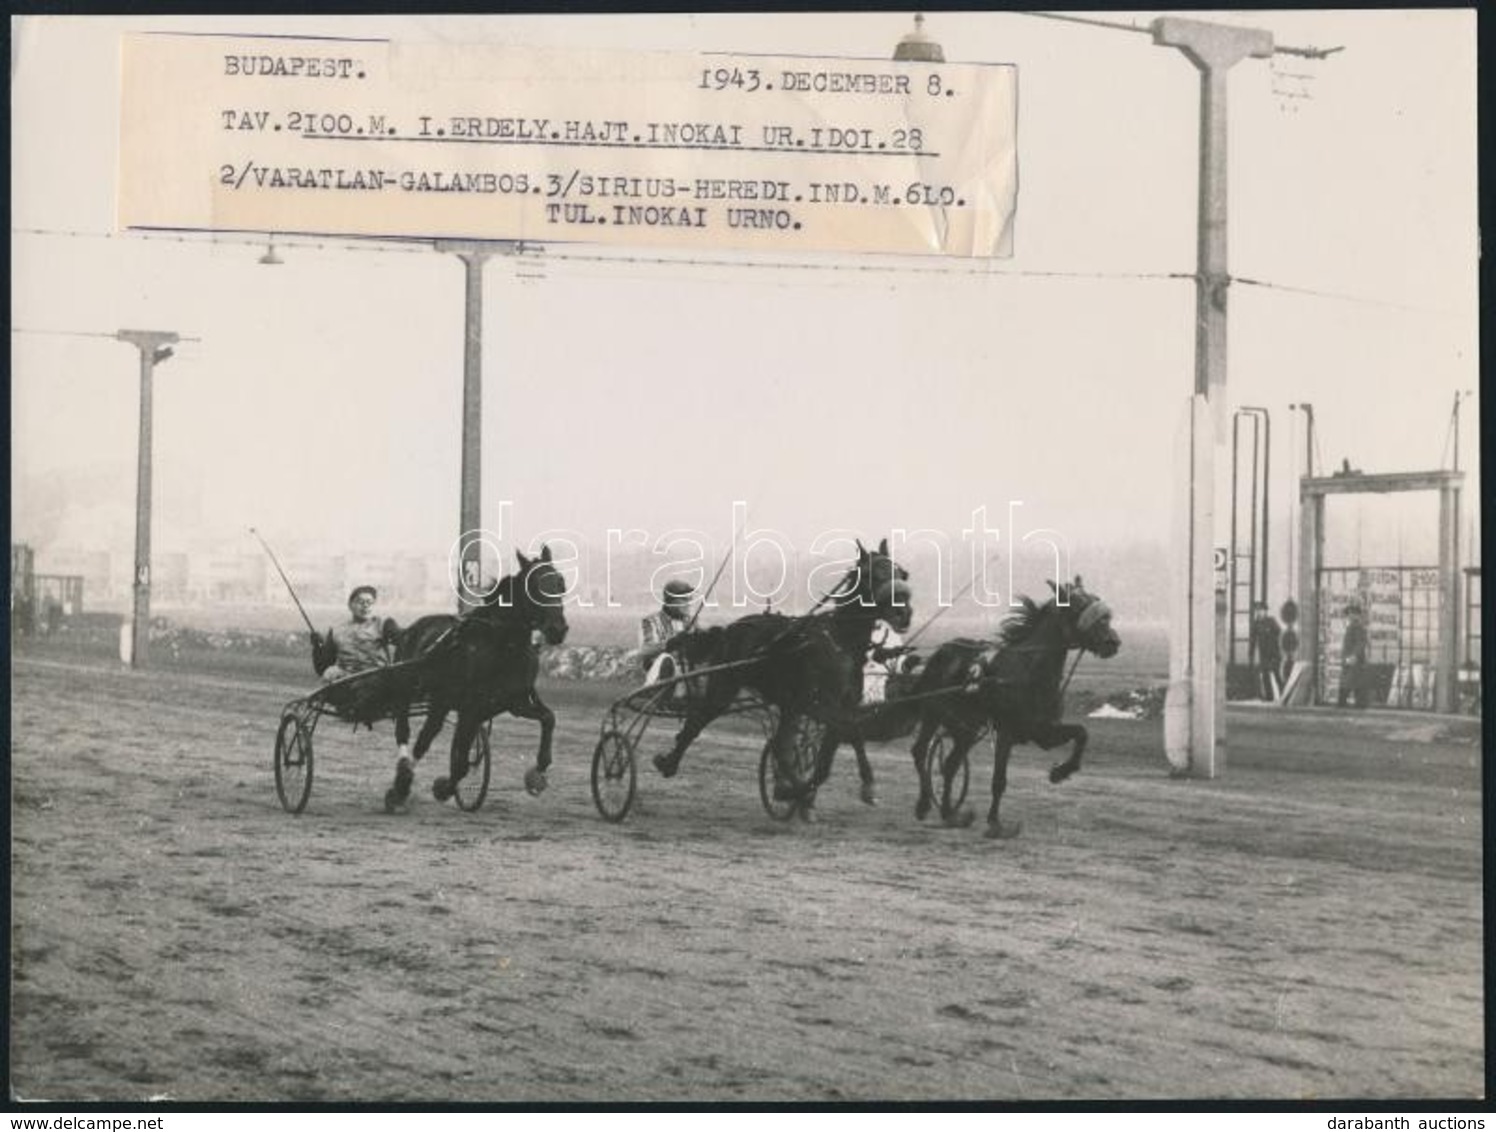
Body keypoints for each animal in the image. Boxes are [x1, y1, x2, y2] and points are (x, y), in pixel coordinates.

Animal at [382, 544, 568, 807]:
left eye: (560, 582)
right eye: (532, 586)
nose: (557, 629)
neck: (503, 646)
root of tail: (409, 629)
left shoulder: (514, 703)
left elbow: (549, 718)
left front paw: (539, 770)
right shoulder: (470, 708)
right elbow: (460, 763)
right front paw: (443, 788)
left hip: (440, 704)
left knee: (427, 736)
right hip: (411, 692)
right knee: (409, 734)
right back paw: (401, 784)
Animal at [655, 538, 909, 813]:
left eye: (900, 572)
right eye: (873, 574)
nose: (904, 612)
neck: (840, 642)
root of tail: (730, 628)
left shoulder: (843, 704)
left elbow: (848, 737)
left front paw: (861, 786)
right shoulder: (817, 704)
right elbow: (841, 737)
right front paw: (807, 791)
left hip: (788, 703)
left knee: (779, 743)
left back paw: (787, 787)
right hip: (725, 687)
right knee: (696, 723)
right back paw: (669, 763)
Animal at [903, 577, 1119, 837]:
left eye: (1096, 601)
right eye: (1078, 606)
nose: (1112, 642)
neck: (1030, 673)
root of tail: (941, 652)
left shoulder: (1043, 731)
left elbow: (1082, 733)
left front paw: (1061, 771)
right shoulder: (1006, 731)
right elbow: (999, 780)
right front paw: (995, 823)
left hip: (967, 727)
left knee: (951, 764)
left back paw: (950, 814)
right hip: (934, 714)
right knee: (921, 751)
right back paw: (925, 803)